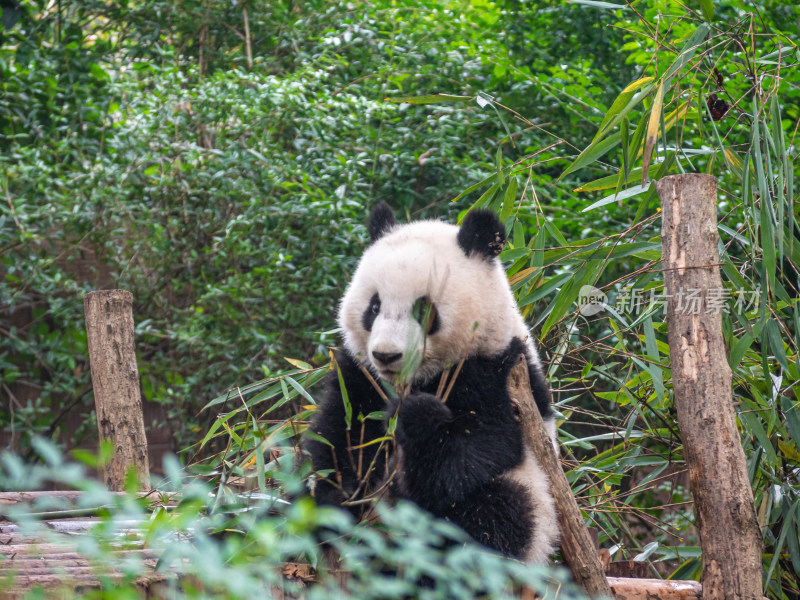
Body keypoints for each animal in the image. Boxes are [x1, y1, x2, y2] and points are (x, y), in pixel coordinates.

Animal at [304, 202, 556, 564]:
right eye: (374, 306)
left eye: (424, 310)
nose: (387, 354)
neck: (416, 378)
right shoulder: (359, 376)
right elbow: (339, 438)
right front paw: (335, 502)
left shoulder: (498, 373)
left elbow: (475, 451)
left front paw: (416, 418)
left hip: (533, 497)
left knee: (494, 517)